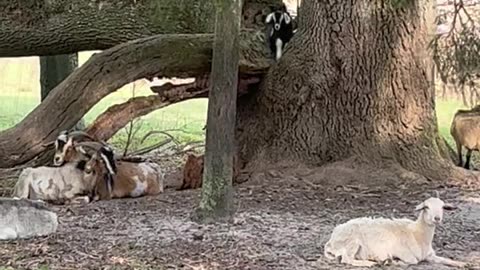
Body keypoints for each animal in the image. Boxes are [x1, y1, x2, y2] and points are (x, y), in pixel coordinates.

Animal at [324, 193, 466, 266]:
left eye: (442, 207)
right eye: (426, 207)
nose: (437, 218)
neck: (417, 234)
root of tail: (331, 241)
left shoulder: (430, 255)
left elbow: (446, 260)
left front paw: (462, 264)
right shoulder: (403, 252)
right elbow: (413, 261)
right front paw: (396, 261)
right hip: (352, 242)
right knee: (347, 259)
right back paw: (371, 263)